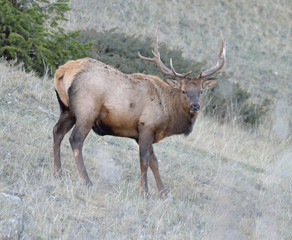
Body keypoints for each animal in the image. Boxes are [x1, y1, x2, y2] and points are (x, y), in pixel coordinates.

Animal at [53, 29, 226, 196]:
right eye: (184, 91)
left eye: (201, 91)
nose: (195, 106)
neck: (169, 116)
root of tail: (62, 71)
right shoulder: (146, 127)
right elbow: (145, 160)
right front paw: (145, 192)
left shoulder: (143, 133)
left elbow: (154, 162)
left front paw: (164, 193)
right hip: (86, 111)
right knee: (75, 139)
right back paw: (86, 181)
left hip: (67, 110)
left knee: (57, 132)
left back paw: (58, 173)